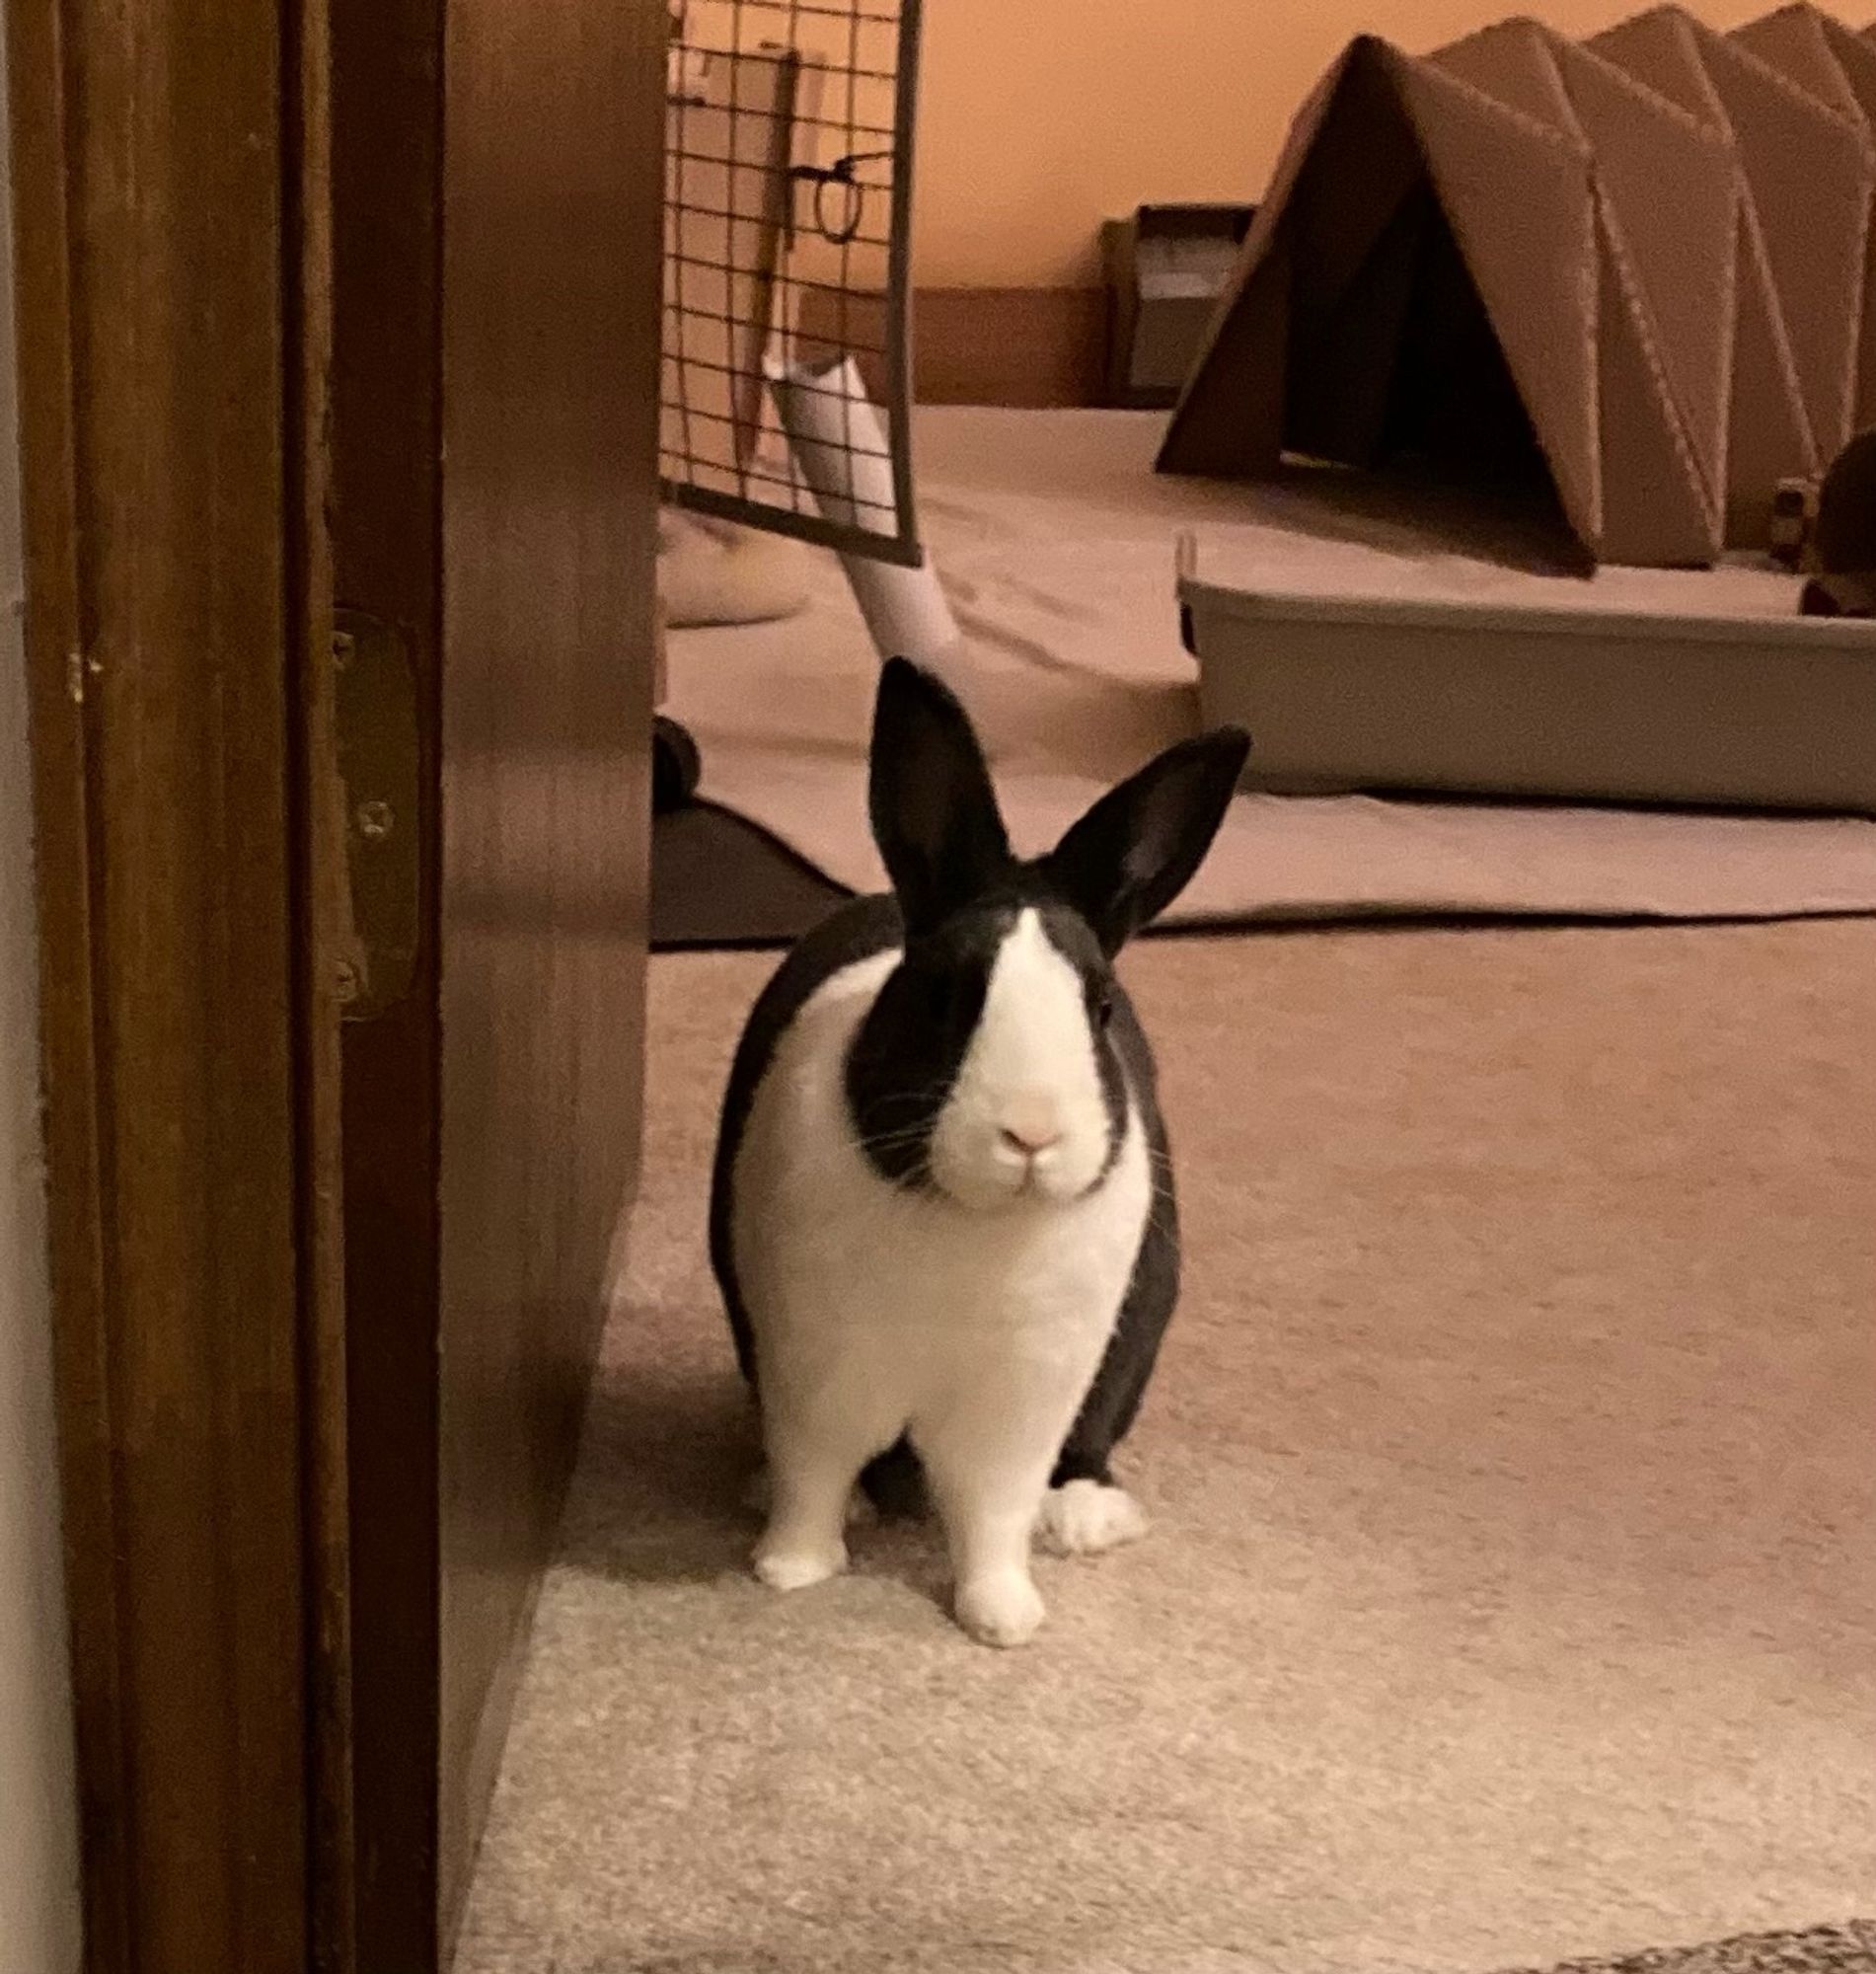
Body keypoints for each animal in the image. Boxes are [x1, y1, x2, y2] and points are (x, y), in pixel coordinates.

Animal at [711, 663, 1255, 1650]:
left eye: (1101, 1007)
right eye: (939, 996)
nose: (1031, 1133)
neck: (970, 1219)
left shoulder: (1019, 1401)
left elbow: (991, 1509)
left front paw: (1003, 1618)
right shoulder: (813, 1367)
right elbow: (813, 1470)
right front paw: (790, 1569)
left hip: (1129, 1337)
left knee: (1085, 1448)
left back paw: (1082, 1519)